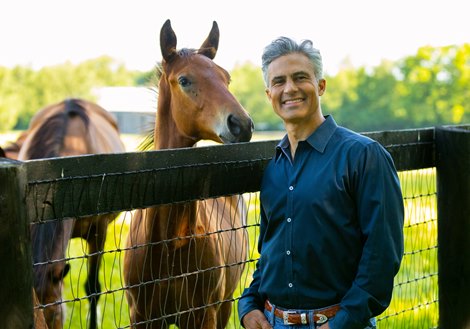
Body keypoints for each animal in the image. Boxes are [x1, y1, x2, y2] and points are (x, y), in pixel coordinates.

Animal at [122, 20, 253, 328]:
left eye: (227, 78)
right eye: (184, 80)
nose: (241, 124)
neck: (171, 241)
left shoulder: (203, 314)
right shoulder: (141, 316)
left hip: (224, 306)